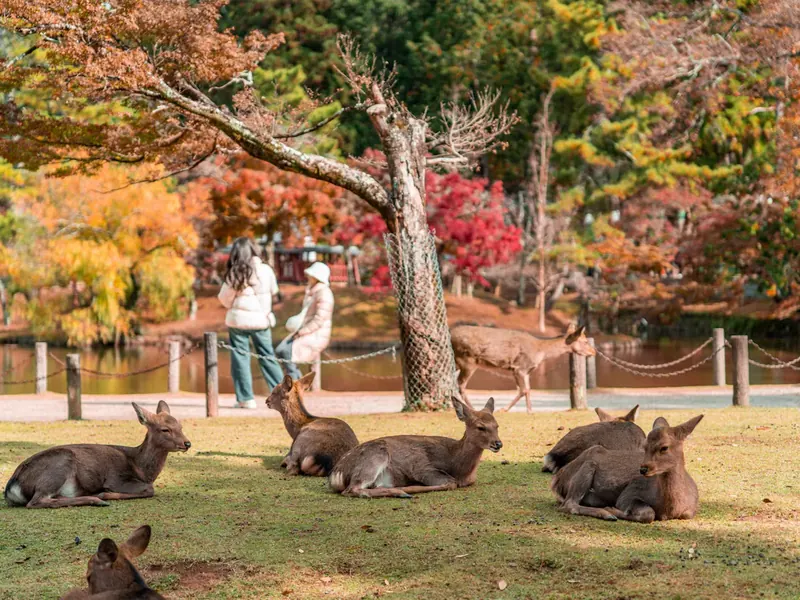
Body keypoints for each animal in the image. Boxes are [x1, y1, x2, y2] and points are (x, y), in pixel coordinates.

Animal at [4, 401, 190, 509]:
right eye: (165, 429)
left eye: (180, 426)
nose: (187, 443)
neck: (141, 468)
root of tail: (11, 487)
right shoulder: (117, 478)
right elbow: (150, 489)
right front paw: (104, 494)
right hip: (60, 464)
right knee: (35, 501)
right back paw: (97, 500)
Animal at [328, 397, 501, 498]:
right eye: (481, 427)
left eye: (497, 425)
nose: (498, 443)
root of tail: (336, 474)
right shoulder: (422, 468)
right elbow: (450, 483)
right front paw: (414, 487)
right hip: (374, 456)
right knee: (352, 489)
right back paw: (402, 492)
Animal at [450, 323, 596, 413]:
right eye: (585, 342)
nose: (594, 352)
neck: (540, 351)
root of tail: (450, 335)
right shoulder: (519, 367)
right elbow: (523, 390)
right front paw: (504, 409)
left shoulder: (526, 371)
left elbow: (528, 389)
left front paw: (530, 410)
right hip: (468, 360)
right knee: (461, 384)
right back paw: (473, 408)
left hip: (459, 361)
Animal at [551, 414, 704, 522]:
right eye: (645, 446)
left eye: (664, 447)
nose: (643, 469)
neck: (669, 509)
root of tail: (556, 481)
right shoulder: (629, 493)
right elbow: (648, 514)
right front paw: (612, 510)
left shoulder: (690, 511)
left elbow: (685, 514)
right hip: (587, 467)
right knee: (569, 504)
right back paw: (606, 514)